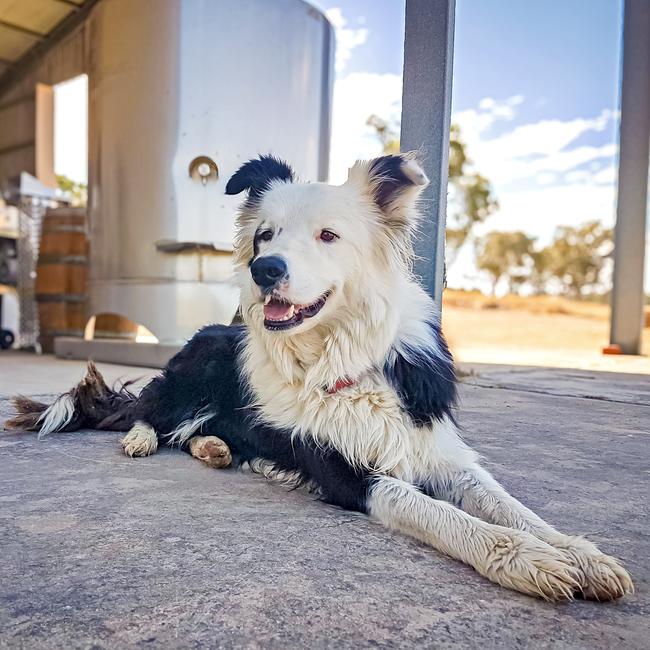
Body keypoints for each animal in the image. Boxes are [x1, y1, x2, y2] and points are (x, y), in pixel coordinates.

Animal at [7, 154, 632, 600]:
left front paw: (581, 554)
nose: (264, 270)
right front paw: (525, 558)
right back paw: (143, 439)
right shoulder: (348, 473)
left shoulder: (440, 452)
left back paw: (219, 448)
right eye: (265, 236)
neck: (345, 357)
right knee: (144, 412)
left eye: (328, 236)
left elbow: (509, 505)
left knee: (191, 431)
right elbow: (440, 513)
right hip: (197, 366)